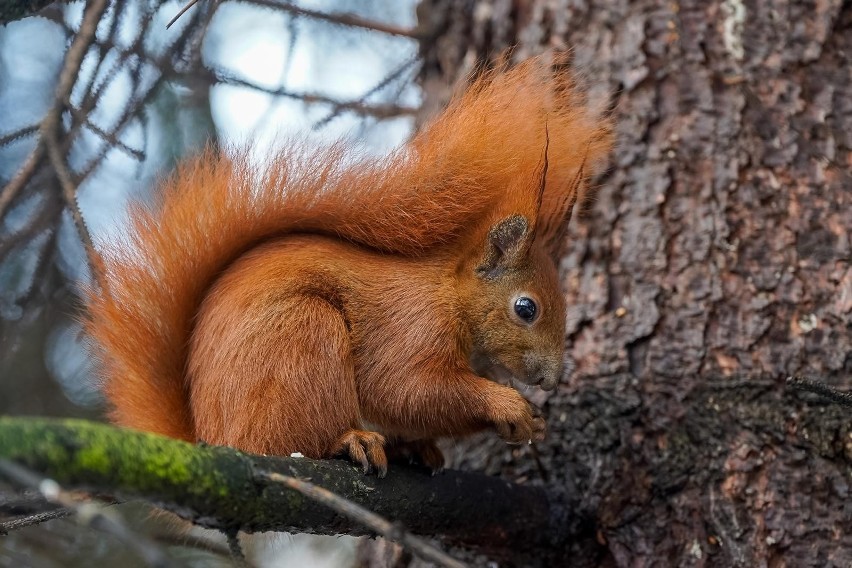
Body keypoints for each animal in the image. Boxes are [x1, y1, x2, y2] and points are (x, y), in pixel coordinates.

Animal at [83, 55, 608, 478]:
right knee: (287, 441)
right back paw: (349, 440)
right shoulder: (412, 326)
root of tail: (210, 437)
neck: (448, 292)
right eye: (526, 308)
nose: (550, 380)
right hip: (300, 337)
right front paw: (509, 405)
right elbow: (405, 389)